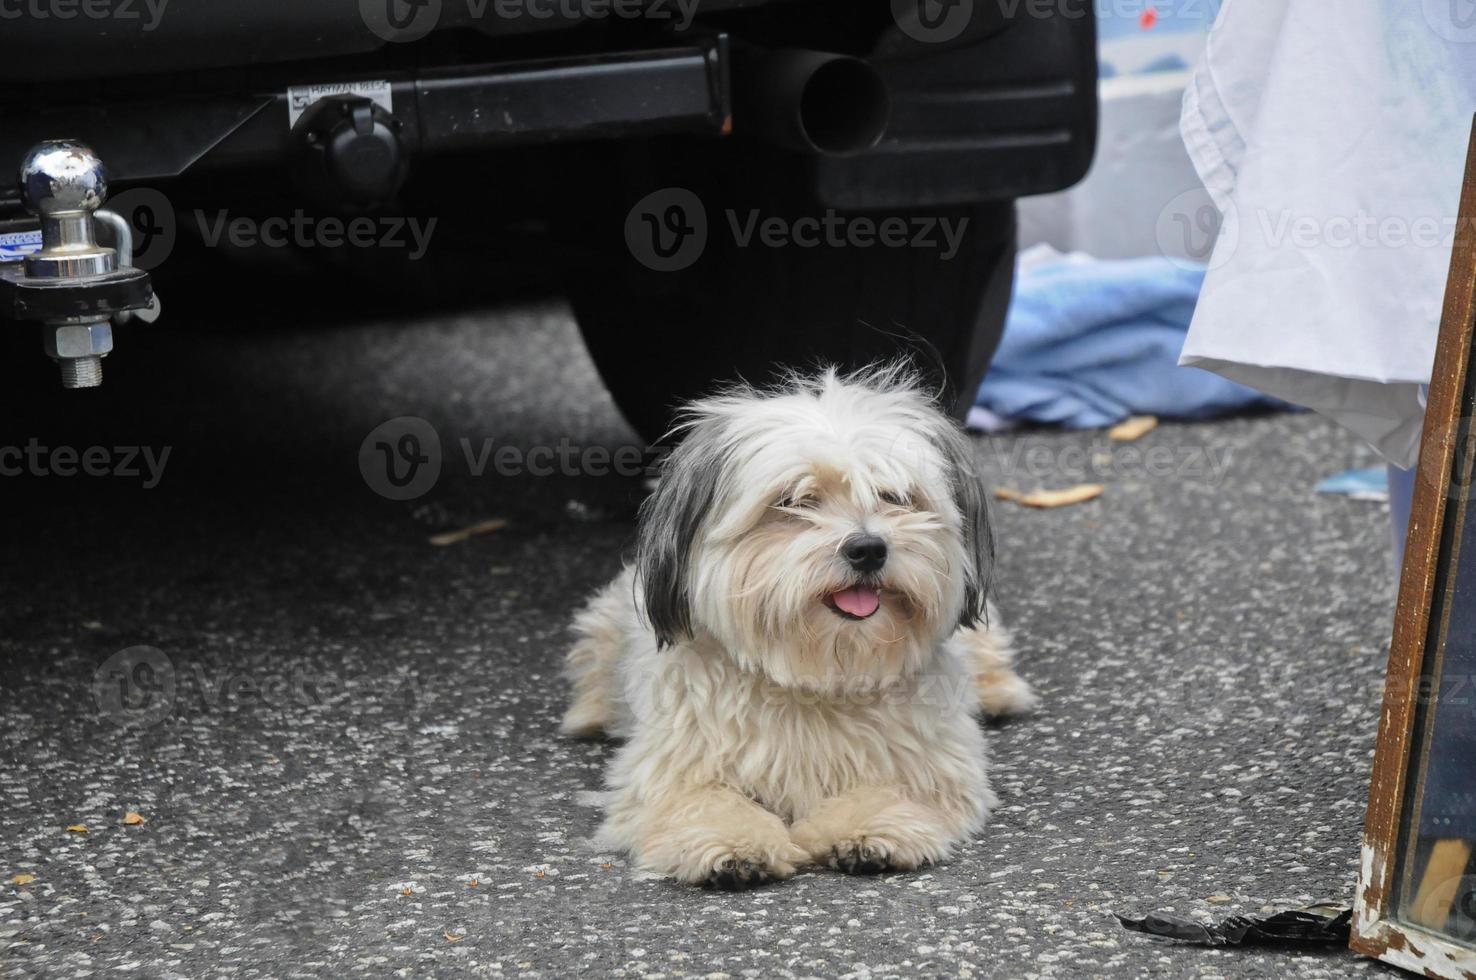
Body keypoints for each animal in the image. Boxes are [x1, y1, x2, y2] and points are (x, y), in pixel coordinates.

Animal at [557, 367, 1033, 885]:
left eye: (894, 496)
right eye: (794, 501)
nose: (868, 548)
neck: (816, 675)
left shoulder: (931, 764)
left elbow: (892, 787)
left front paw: (869, 827)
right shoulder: (672, 768)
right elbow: (703, 799)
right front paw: (731, 842)